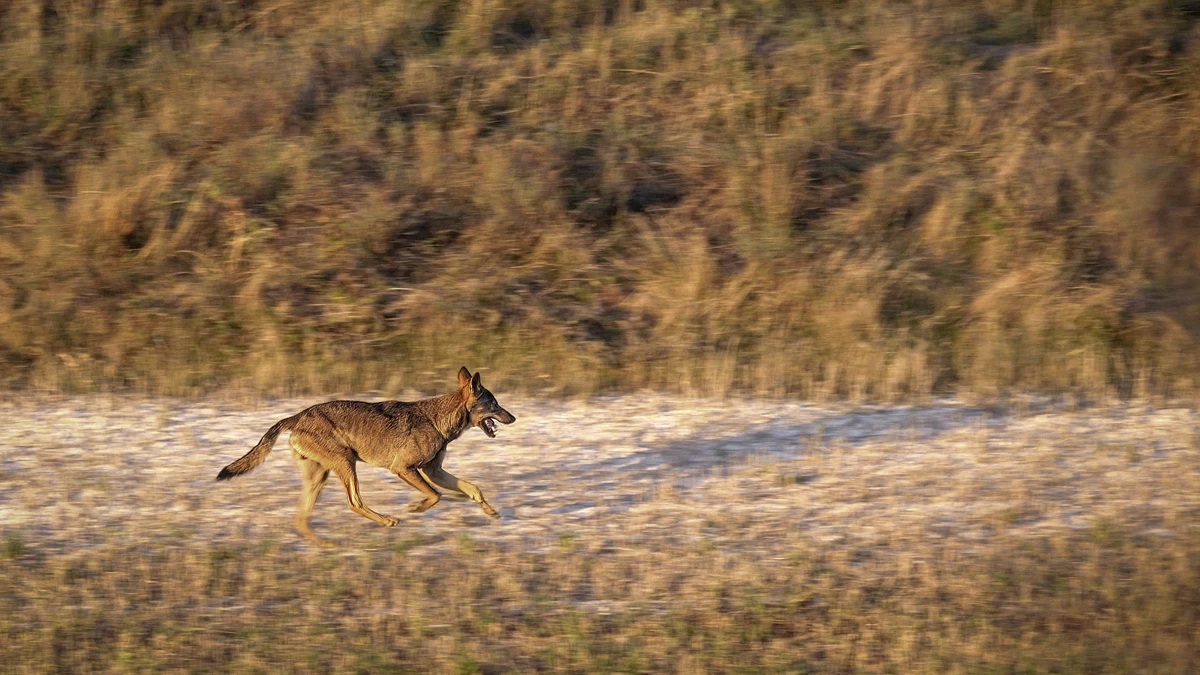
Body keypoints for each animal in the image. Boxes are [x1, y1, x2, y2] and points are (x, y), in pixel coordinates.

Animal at [216, 367, 515, 544]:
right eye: (495, 404)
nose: (513, 418)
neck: (438, 420)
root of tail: (297, 415)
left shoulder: (434, 471)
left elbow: (473, 489)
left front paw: (491, 512)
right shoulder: (404, 469)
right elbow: (435, 496)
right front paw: (415, 508)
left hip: (320, 477)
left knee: (300, 519)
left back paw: (323, 547)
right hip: (346, 464)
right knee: (354, 502)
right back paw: (387, 520)